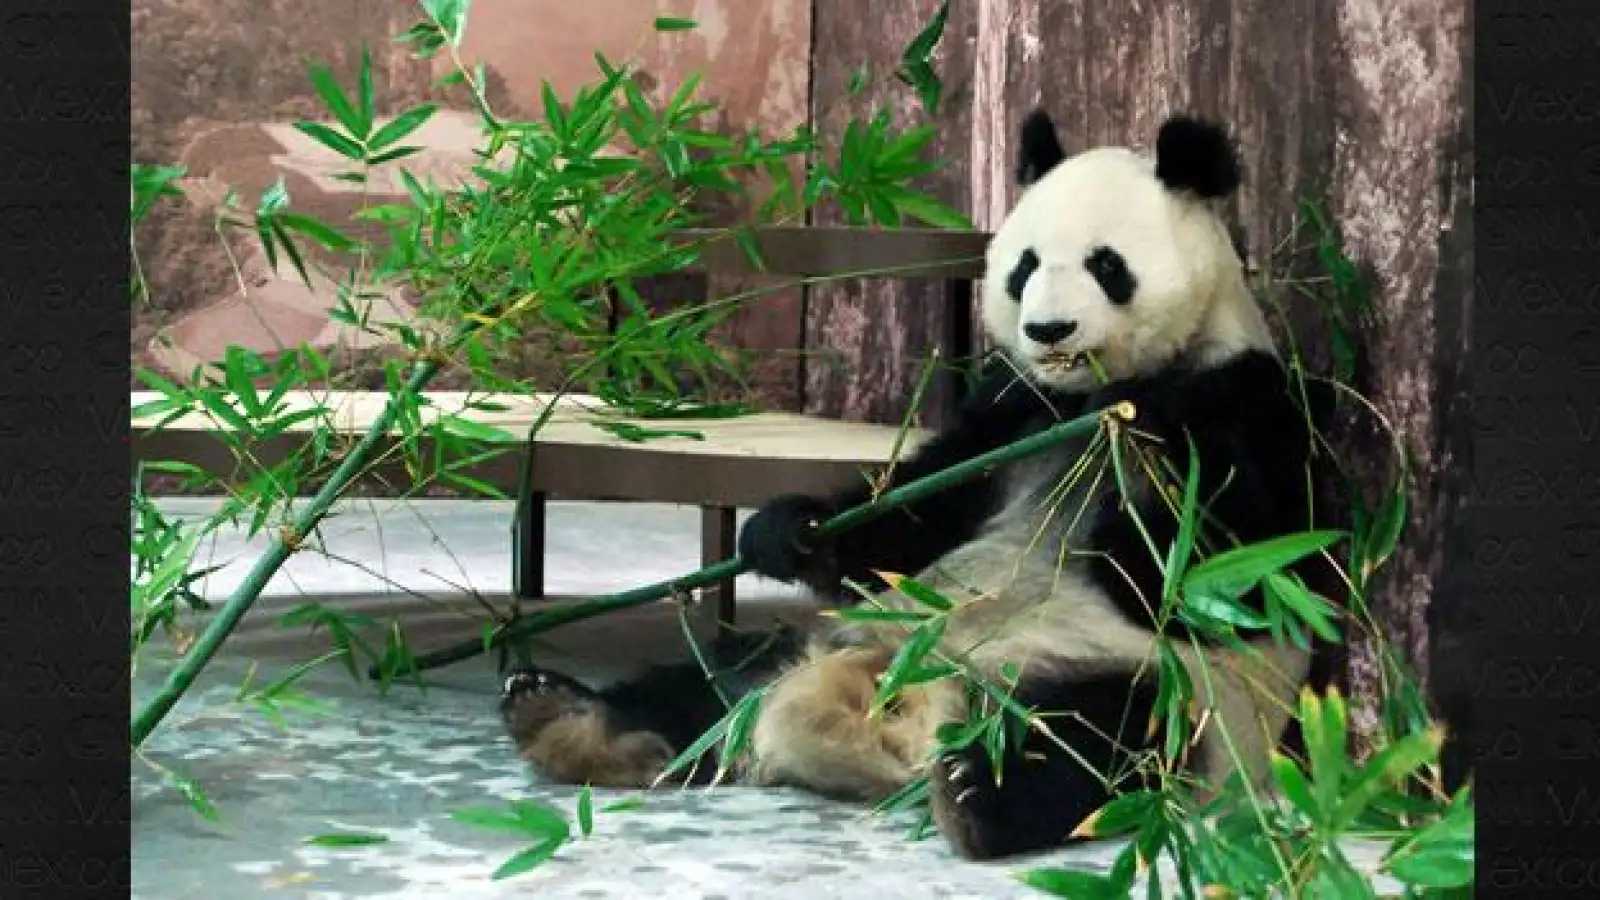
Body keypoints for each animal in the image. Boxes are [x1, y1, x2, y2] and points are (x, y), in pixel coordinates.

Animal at [498, 109, 1346, 860]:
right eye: (1025, 266)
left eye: (1107, 265)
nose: (1048, 331)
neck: (1095, 398)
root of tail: (898, 714)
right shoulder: (1013, 411)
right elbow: (920, 508)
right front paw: (787, 531)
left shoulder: (1245, 403)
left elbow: (1215, 573)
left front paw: (1149, 477)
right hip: (829, 638)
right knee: (708, 685)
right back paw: (563, 714)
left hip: (1149, 690)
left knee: (1096, 742)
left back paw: (977, 794)